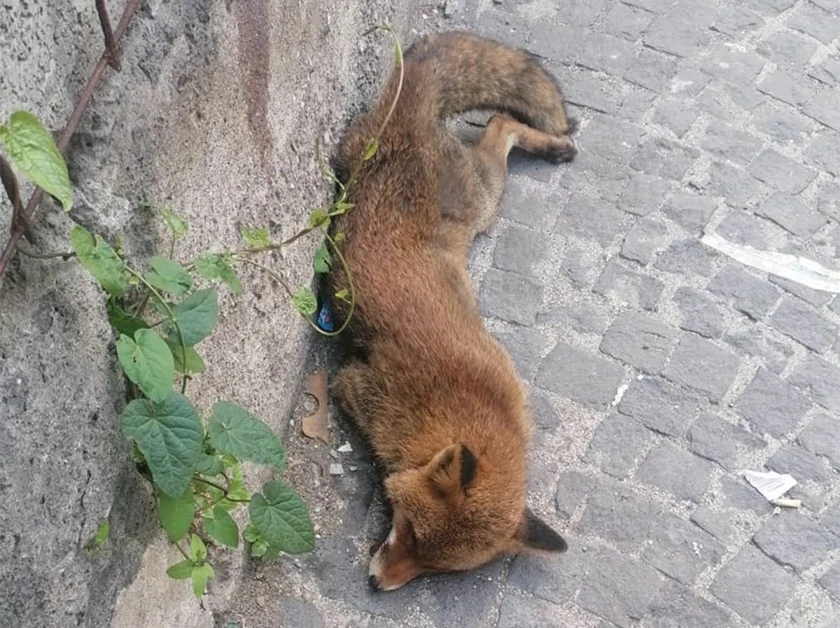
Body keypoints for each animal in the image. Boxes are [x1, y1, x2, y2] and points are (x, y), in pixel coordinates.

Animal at [326, 30, 576, 592]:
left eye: (433, 568)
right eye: (410, 532)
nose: (376, 586)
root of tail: (412, 122)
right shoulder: (353, 389)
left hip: (482, 200)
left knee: (502, 125)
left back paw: (553, 146)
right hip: (482, 192)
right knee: (500, 124)